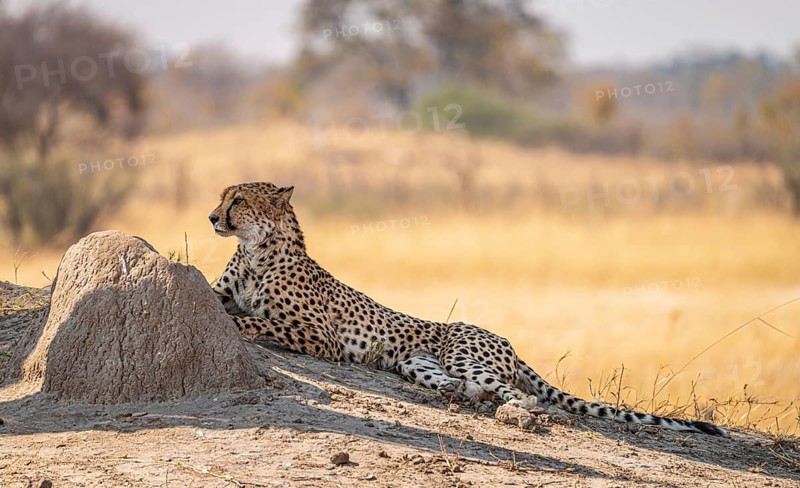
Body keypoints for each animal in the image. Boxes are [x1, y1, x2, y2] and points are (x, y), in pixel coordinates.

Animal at [208, 182, 727, 437]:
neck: (256, 250)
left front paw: (241, 324)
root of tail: (505, 339)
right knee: (465, 385)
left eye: (238, 199)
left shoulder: (323, 337)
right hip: (420, 363)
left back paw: (521, 415)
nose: (212, 217)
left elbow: (257, 320)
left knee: (524, 396)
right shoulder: (222, 291)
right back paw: (461, 397)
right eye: (222, 197)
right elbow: (223, 299)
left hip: (465, 353)